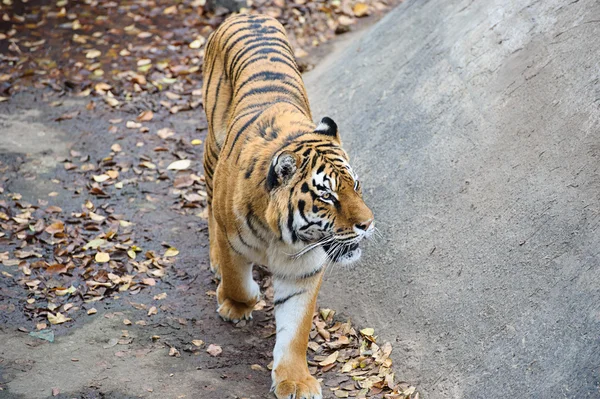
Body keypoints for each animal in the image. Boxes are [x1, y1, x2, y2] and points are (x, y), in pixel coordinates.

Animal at [204, 14, 372, 398]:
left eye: (355, 186)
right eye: (327, 196)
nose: (368, 224)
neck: (281, 238)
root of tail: (246, 14)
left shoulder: (304, 269)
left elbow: (295, 330)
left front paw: (295, 380)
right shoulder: (232, 239)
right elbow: (237, 281)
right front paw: (238, 302)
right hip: (211, 153)